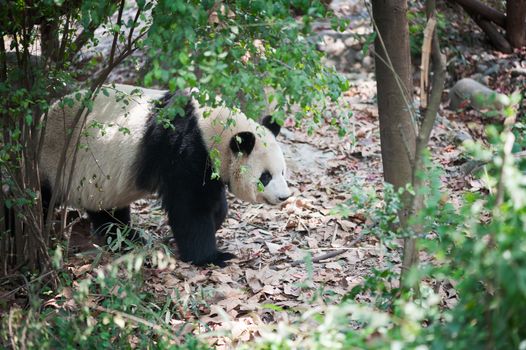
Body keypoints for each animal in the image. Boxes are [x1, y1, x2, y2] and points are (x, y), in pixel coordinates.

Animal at [41, 84, 292, 266]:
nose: (284, 197)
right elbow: (190, 208)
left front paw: (215, 223)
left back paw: (128, 237)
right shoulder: (184, 149)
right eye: (265, 177)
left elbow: (214, 203)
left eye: (282, 171)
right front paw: (212, 257)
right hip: (56, 159)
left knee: (107, 210)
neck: (214, 129)